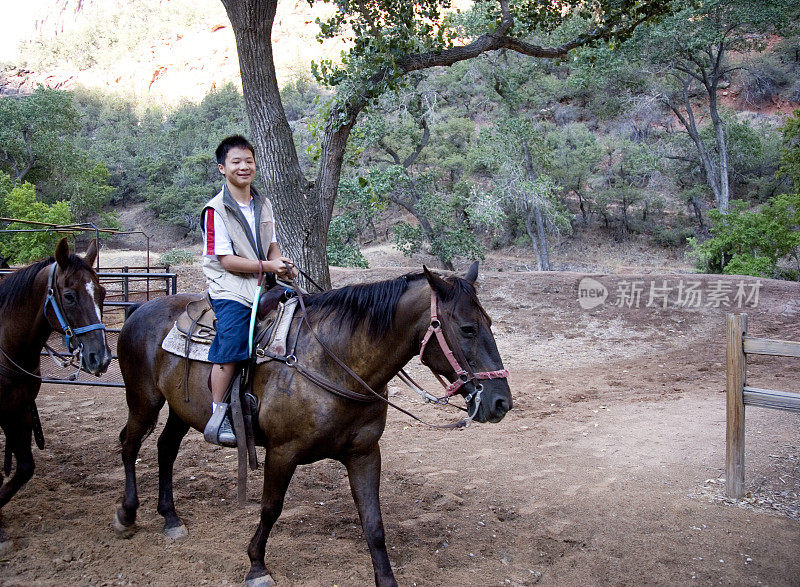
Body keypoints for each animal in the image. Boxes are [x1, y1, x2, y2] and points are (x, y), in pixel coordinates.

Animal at [112, 262, 512, 587]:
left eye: (490, 323)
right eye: (468, 329)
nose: (501, 402)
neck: (333, 361)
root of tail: (140, 309)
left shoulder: (364, 454)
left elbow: (374, 523)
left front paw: (386, 578)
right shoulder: (282, 452)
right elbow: (270, 507)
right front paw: (257, 567)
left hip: (181, 410)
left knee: (165, 448)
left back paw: (170, 518)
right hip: (144, 401)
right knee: (130, 443)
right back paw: (127, 514)